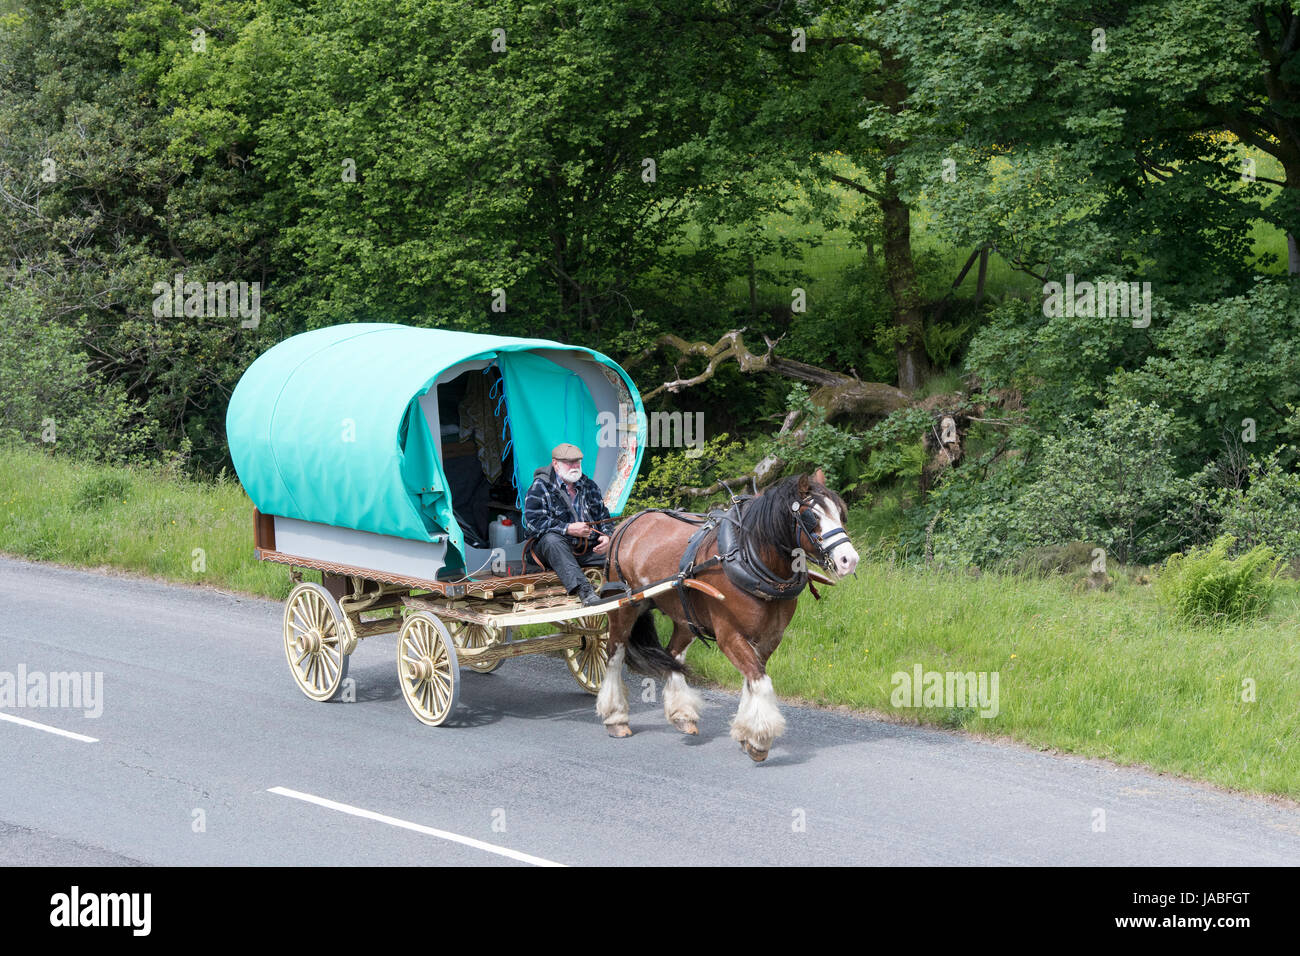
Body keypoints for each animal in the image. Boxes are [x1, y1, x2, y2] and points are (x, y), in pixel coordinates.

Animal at [596, 469, 859, 761]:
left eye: (841, 514)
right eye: (812, 516)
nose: (849, 560)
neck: (751, 561)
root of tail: (628, 522)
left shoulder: (769, 638)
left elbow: (752, 680)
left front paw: (746, 732)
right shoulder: (730, 635)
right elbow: (760, 680)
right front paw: (759, 740)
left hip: (684, 614)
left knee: (673, 654)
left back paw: (682, 714)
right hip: (623, 607)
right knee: (614, 654)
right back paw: (616, 717)